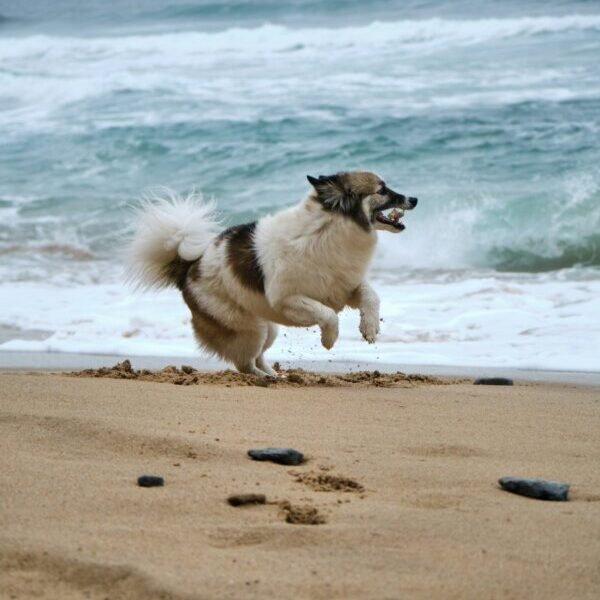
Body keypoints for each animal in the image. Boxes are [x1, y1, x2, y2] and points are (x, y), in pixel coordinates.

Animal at [126, 170, 418, 376]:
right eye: (382, 190)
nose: (414, 199)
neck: (330, 227)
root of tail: (190, 267)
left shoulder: (345, 287)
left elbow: (371, 296)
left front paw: (370, 328)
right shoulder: (289, 300)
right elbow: (328, 314)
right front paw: (329, 339)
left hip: (268, 329)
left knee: (257, 358)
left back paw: (277, 376)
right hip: (250, 330)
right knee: (244, 364)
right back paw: (264, 379)